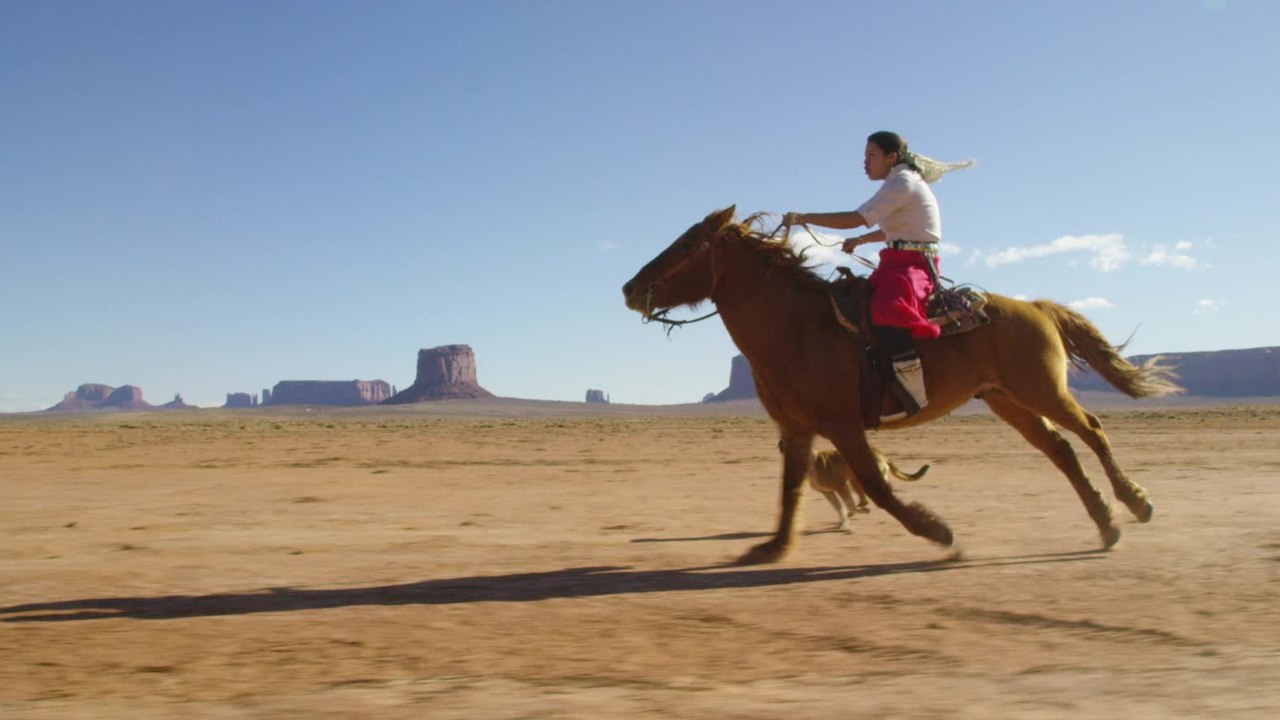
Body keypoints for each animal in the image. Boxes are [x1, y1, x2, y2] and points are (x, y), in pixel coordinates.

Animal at [622, 206, 1181, 565]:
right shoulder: (797, 430)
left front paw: (939, 531)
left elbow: (877, 487)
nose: (629, 288)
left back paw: (1135, 503)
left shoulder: (844, 426)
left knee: (1091, 429)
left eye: (688, 244)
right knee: (1061, 448)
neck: (797, 329)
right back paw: (1107, 524)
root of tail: (1034, 307)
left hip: (1041, 389)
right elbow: (790, 490)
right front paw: (774, 548)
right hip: (1007, 400)